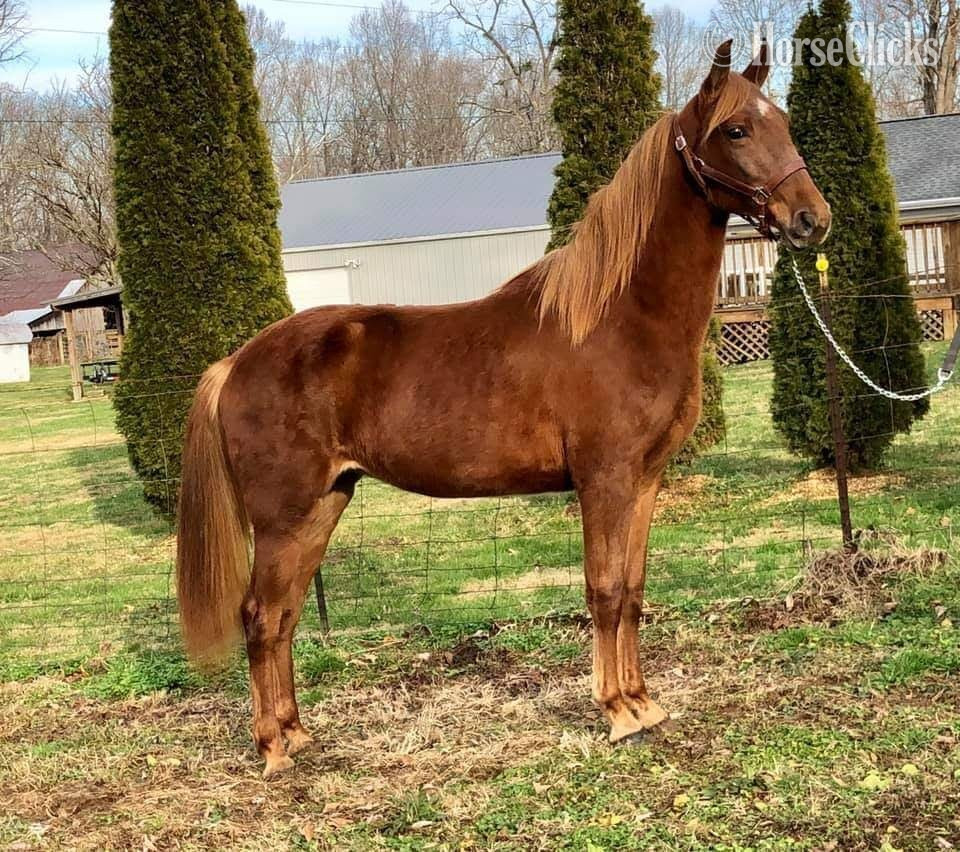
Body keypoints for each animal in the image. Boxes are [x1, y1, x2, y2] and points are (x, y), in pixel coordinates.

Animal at [176, 40, 831, 778]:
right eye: (738, 130)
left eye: (782, 122)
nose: (812, 218)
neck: (619, 316)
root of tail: (234, 364)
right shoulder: (604, 481)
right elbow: (604, 589)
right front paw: (618, 713)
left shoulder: (645, 482)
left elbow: (633, 591)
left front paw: (644, 703)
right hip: (283, 517)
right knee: (260, 616)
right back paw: (272, 751)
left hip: (324, 504)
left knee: (284, 616)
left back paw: (296, 734)